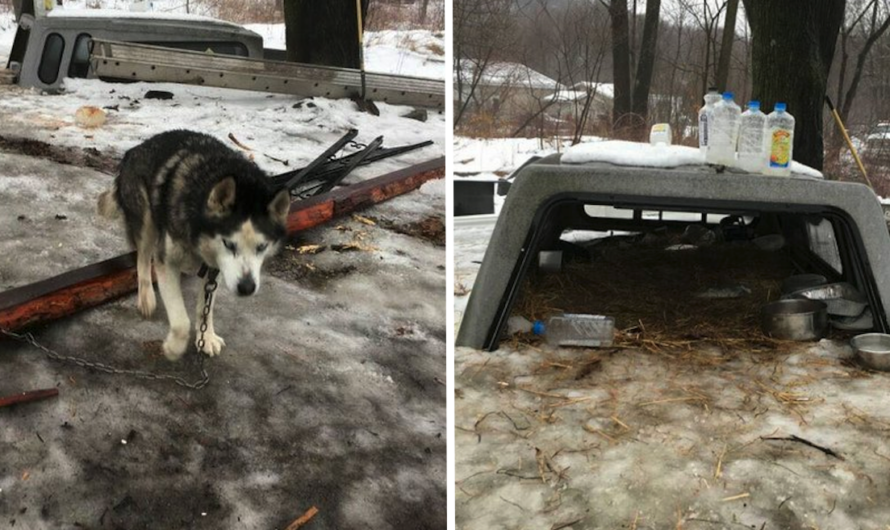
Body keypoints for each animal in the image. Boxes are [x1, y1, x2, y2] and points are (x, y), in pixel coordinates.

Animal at [98, 129, 290, 358]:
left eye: (261, 247)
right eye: (228, 244)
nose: (246, 287)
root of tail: (135, 149)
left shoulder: (216, 269)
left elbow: (204, 308)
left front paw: (206, 337)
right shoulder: (167, 261)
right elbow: (181, 321)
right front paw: (174, 347)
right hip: (146, 221)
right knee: (143, 258)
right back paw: (146, 297)